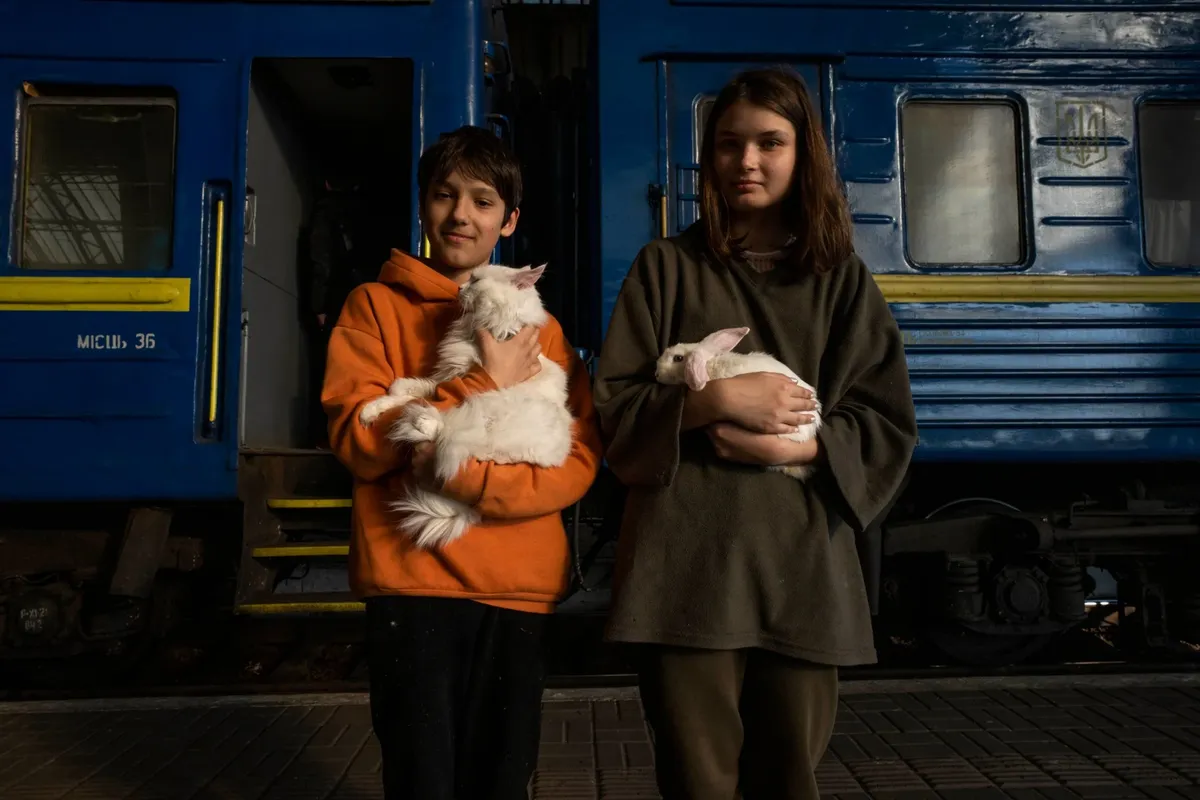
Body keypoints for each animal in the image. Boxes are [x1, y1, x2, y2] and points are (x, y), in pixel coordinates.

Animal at [358, 263, 575, 548]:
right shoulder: (447, 377)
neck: (491, 329)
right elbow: (412, 392)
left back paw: (422, 422)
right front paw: (375, 407)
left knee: (448, 431)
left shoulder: (462, 378)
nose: (460, 288)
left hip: (493, 411)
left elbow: (422, 398)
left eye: (476, 280)